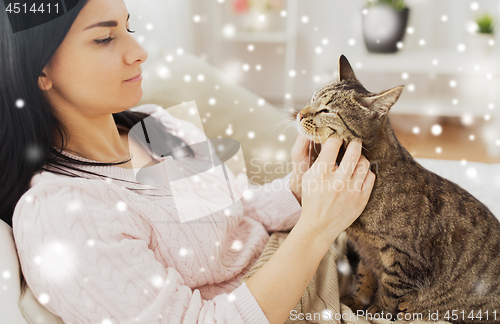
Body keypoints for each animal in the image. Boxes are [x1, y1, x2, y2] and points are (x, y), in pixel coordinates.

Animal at [294, 54, 500, 322]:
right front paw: (357, 301)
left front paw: (379, 311)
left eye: (326, 110)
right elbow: (365, 276)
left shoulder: (404, 260)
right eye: (312, 99)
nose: (299, 114)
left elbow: (390, 289)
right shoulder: (367, 252)